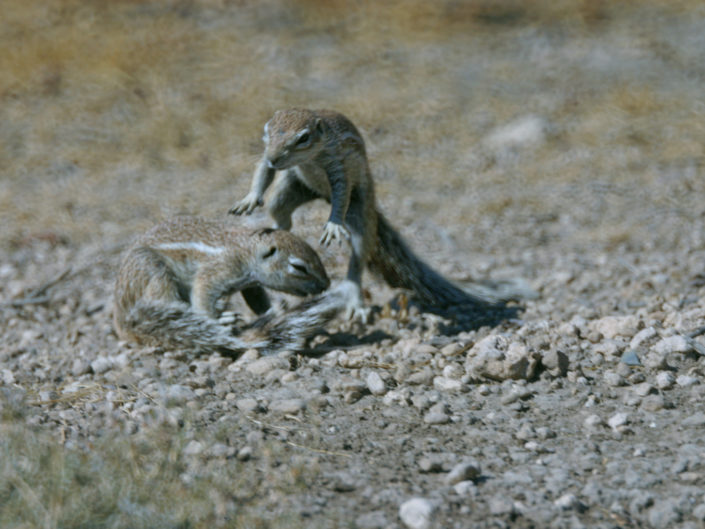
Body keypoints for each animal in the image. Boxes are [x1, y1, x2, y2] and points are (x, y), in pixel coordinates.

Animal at [113, 215, 346, 355]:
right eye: (299, 267)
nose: (326, 284)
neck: (245, 250)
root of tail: (121, 322)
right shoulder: (218, 270)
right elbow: (202, 296)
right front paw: (215, 319)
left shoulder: (251, 284)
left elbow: (258, 300)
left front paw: (268, 311)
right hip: (151, 270)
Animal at [229, 108, 526, 321]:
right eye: (267, 133)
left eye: (303, 138)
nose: (276, 157)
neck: (312, 159)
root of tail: (320, 194)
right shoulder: (273, 161)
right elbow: (262, 172)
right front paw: (250, 198)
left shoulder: (339, 165)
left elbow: (341, 195)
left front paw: (333, 224)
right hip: (293, 187)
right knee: (280, 209)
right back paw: (277, 231)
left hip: (360, 207)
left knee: (358, 257)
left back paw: (355, 300)